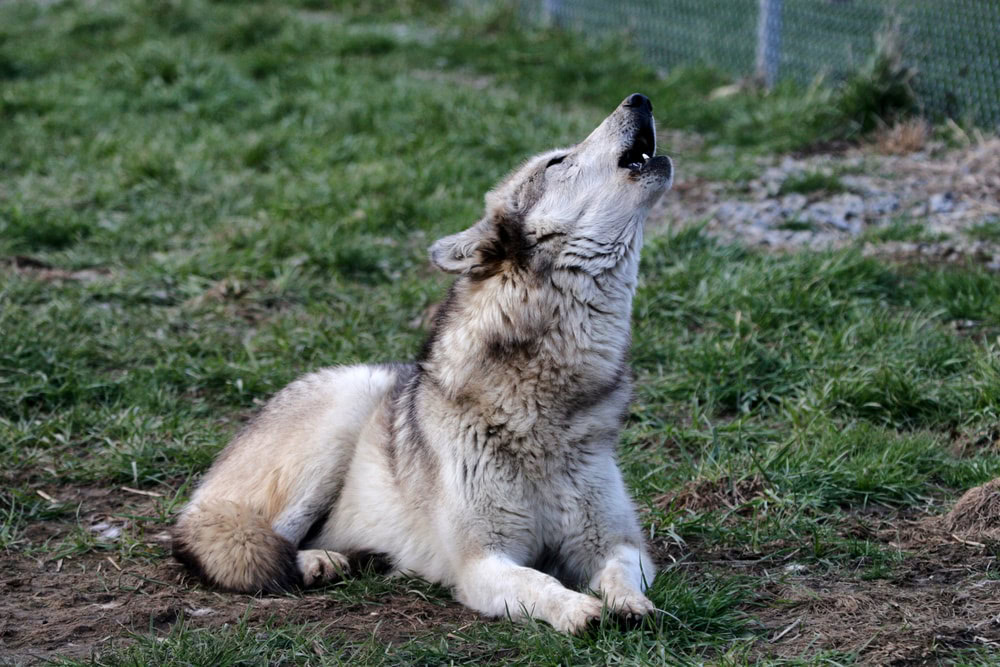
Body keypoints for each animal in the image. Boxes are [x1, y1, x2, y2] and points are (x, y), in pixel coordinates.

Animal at [172, 93, 673, 634]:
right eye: (557, 162)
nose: (640, 98)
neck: (541, 400)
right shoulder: (481, 563)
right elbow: (539, 582)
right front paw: (579, 610)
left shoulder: (617, 542)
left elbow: (620, 573)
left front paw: (629, 605)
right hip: (344, 413)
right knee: (247, 545)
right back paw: (314, 563)